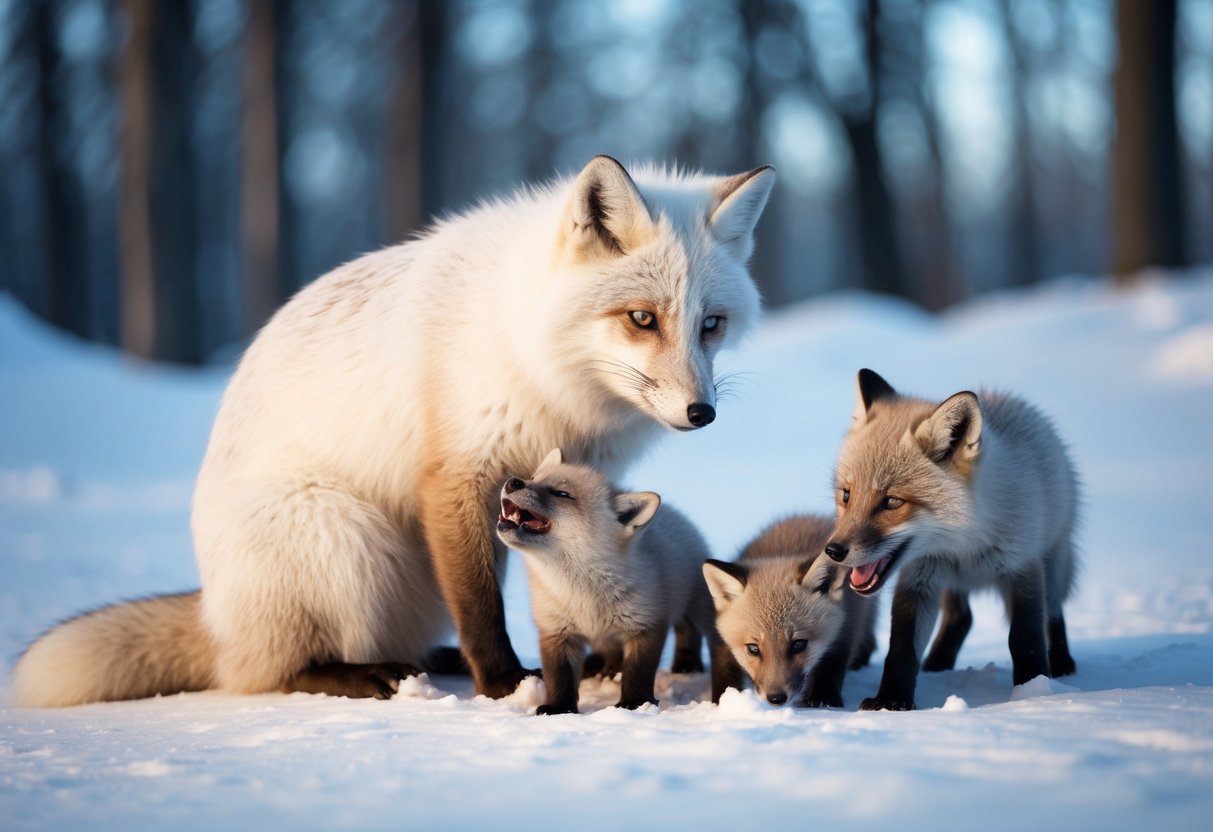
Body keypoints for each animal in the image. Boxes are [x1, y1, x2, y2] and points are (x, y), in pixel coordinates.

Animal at [496, 448, 731, 714]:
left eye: (562, 494)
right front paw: (560, 708)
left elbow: (637, 672)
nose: (513, 482)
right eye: (534, 478)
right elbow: (559, 676)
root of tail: (679, 517)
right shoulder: (556, 631)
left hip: (697, 609)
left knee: (691, 631)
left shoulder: (647, 624)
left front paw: (635, 703)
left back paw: (687, 665)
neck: (580, 593)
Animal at [702, 515, 877, 708]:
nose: (776, 698)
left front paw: (823, 699)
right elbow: (724, 667)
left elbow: (833, 662)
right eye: (753, 648)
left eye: (799, 644)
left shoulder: (848, 624)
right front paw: (721, 702)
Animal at [824, 368, 1079, 711]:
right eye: (846, 495)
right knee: (962, 618)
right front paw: (891, 700)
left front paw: (1032, 692)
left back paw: (1062, 664)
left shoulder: (1021, 565)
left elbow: (1025, 637)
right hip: (950, 582)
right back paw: (937, 664)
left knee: (1053, 616)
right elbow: (902, 647)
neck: (965, 545)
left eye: (892, 502)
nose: (833, 550)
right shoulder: (920, 578)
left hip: (1053, 560)